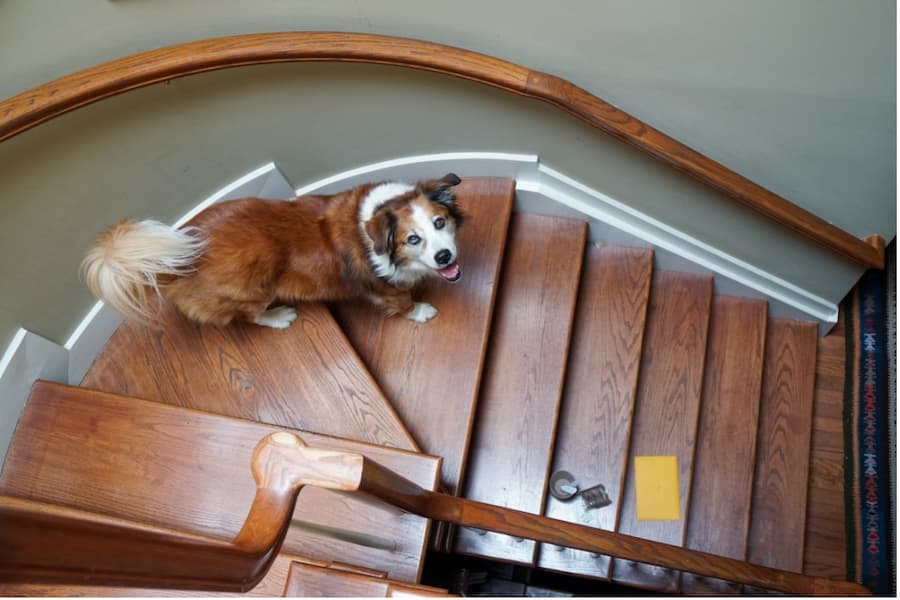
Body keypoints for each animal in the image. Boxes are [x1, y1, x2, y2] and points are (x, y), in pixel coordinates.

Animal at [79, 171, 464, 330]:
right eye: (411, 239)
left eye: (440, 222)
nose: (444, 257)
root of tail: (178, 263)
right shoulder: (383, 288)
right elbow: (402, 302)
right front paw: (420, 310)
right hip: (253, 290)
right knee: (248, 316)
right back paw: (279, 317)